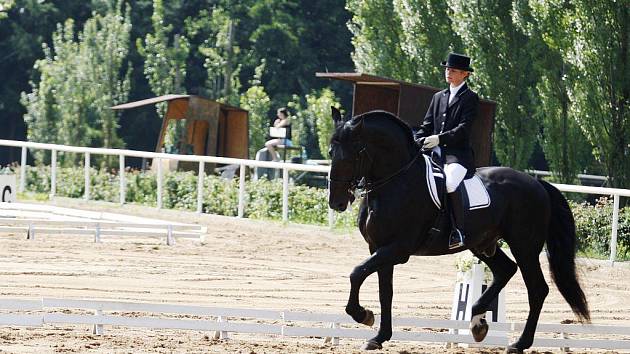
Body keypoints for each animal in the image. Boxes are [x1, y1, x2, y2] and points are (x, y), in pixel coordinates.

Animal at [328, 108, 592, 354]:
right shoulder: (379, 247)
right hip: (482, 244)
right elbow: (385, 292)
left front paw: (362, 314)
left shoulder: (397, 248)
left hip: (524, 246)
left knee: (537, 289)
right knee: (505, 270)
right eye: (331, 153)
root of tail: (537, 183)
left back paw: (518, 343)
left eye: (352, 155)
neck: (396, 182)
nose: (336, 203)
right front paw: (379, 337)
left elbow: (356, 273)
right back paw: (478, 322)